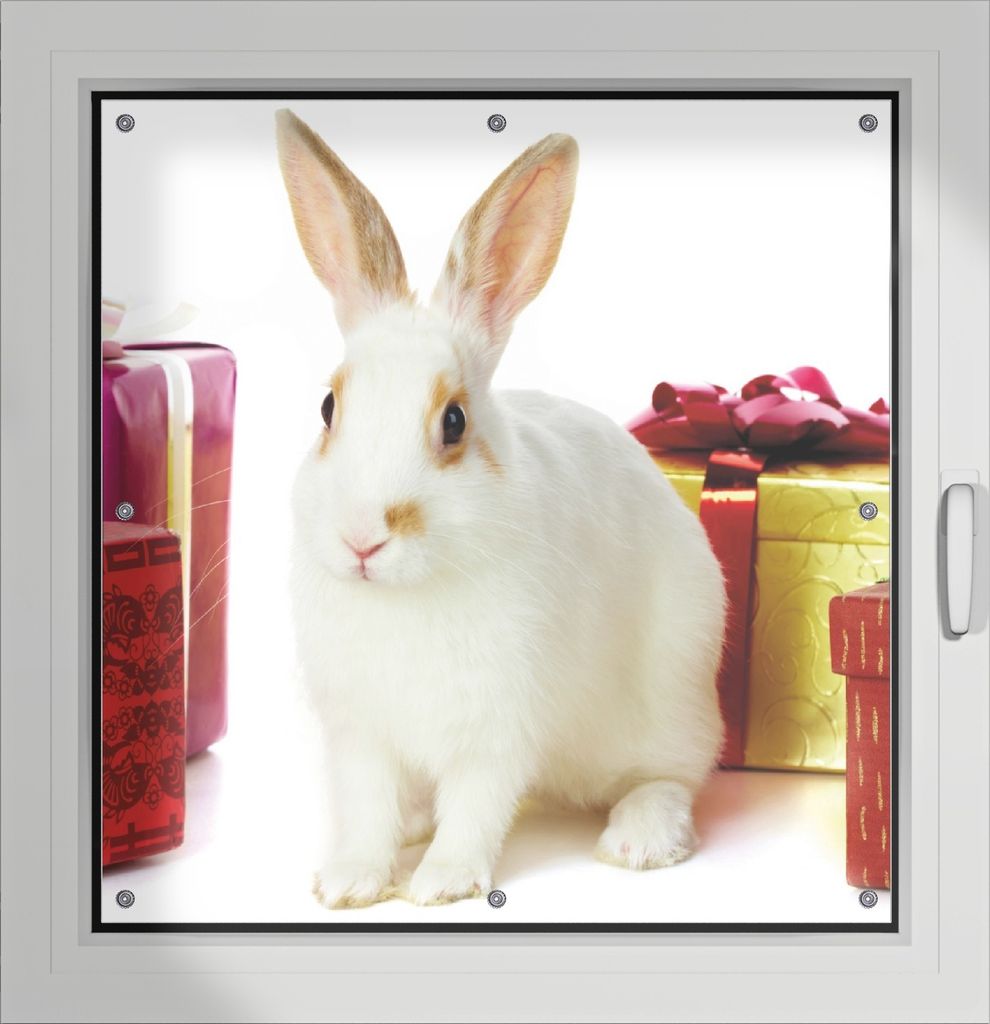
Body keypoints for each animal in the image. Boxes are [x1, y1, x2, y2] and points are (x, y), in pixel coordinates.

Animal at [276, 108, 727, 908]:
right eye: (328, 409)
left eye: (454, 422)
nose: (361, 539)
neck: (405, 593)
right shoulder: (362, 735)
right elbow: (366, 808)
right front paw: (350, 881)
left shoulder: (499, 727)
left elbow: (477, 806)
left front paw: (441, 883)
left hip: (675, 694)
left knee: (672, 775)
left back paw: (639, 838)